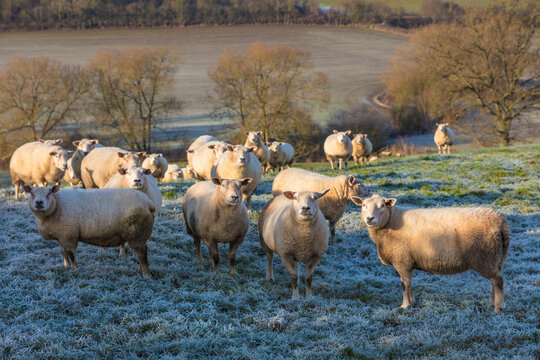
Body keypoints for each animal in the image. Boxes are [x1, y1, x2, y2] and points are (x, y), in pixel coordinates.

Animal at [23, 184, 154, 278]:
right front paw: (65, 267)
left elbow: (71, 255)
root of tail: (148, 202)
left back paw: (146, 274)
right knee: (141, 253)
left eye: (49, 193)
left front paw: (75, 269)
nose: (39, 203)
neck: (57, 206)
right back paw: (140, 270)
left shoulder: (69, 236)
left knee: (142, 254)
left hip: (138, 233)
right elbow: (63, 253)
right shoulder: (61, 236)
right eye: (31, 193)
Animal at [352, 194, 508, 312]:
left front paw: (404, 305)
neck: (392, 221)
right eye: (363, 205)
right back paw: (491, 303)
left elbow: (404, 284)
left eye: (382, 206)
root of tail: (500, 220)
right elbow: (409, 283)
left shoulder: (402, 260)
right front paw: (412, 301)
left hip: (485, 257)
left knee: (498, 280)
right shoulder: (408, 261)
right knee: (495, 281)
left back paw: (498, 308)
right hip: (495, 259)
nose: (370, 219)